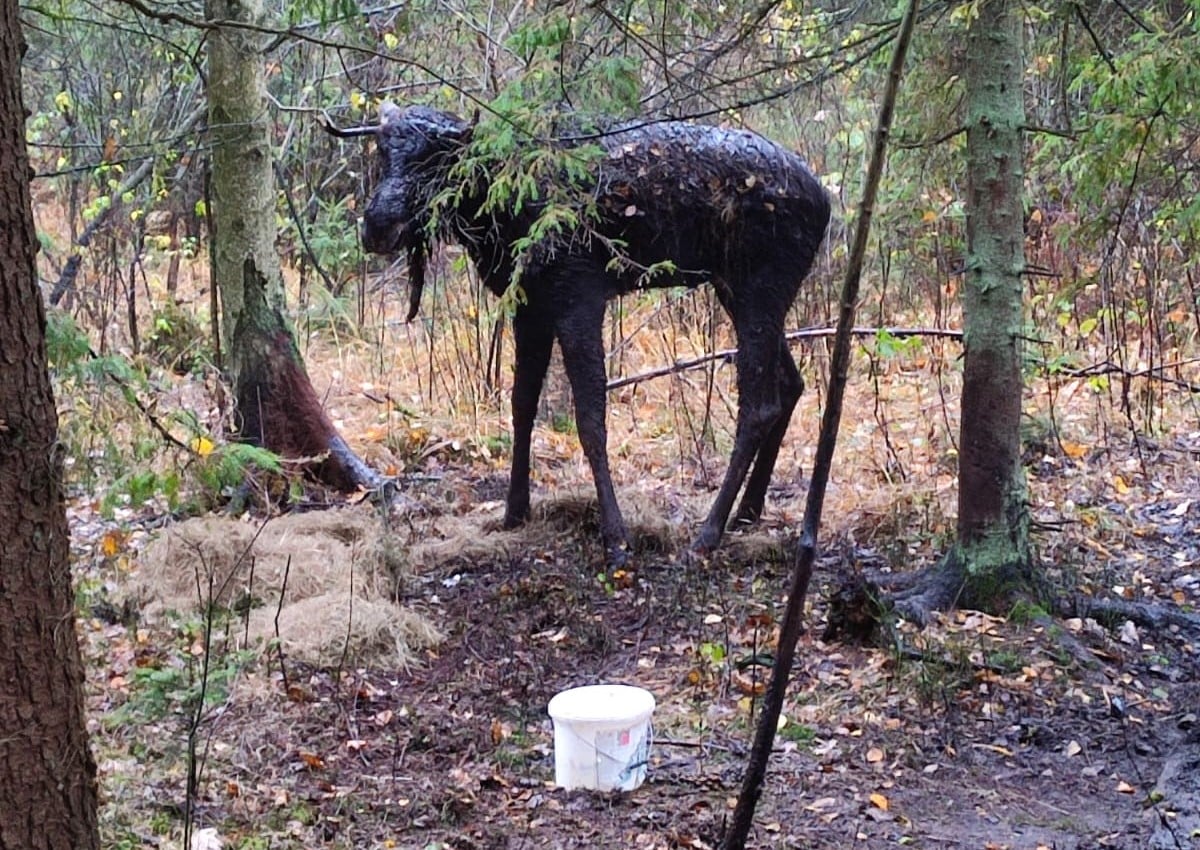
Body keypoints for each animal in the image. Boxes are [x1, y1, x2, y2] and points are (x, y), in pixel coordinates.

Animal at [333, 104, 830, 564]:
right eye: (382, 150)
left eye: (436, 157)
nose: (377, 226)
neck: (498, 216)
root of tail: (826, 202)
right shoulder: (530, 303)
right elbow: (522, 406)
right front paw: (514, 510)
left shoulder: (579, 293)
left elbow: (590, 419)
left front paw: (616, 536)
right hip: (737, 287)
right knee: (790, 383)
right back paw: (747, 509)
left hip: (759, 287)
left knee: (758, 405)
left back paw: (709, 532)